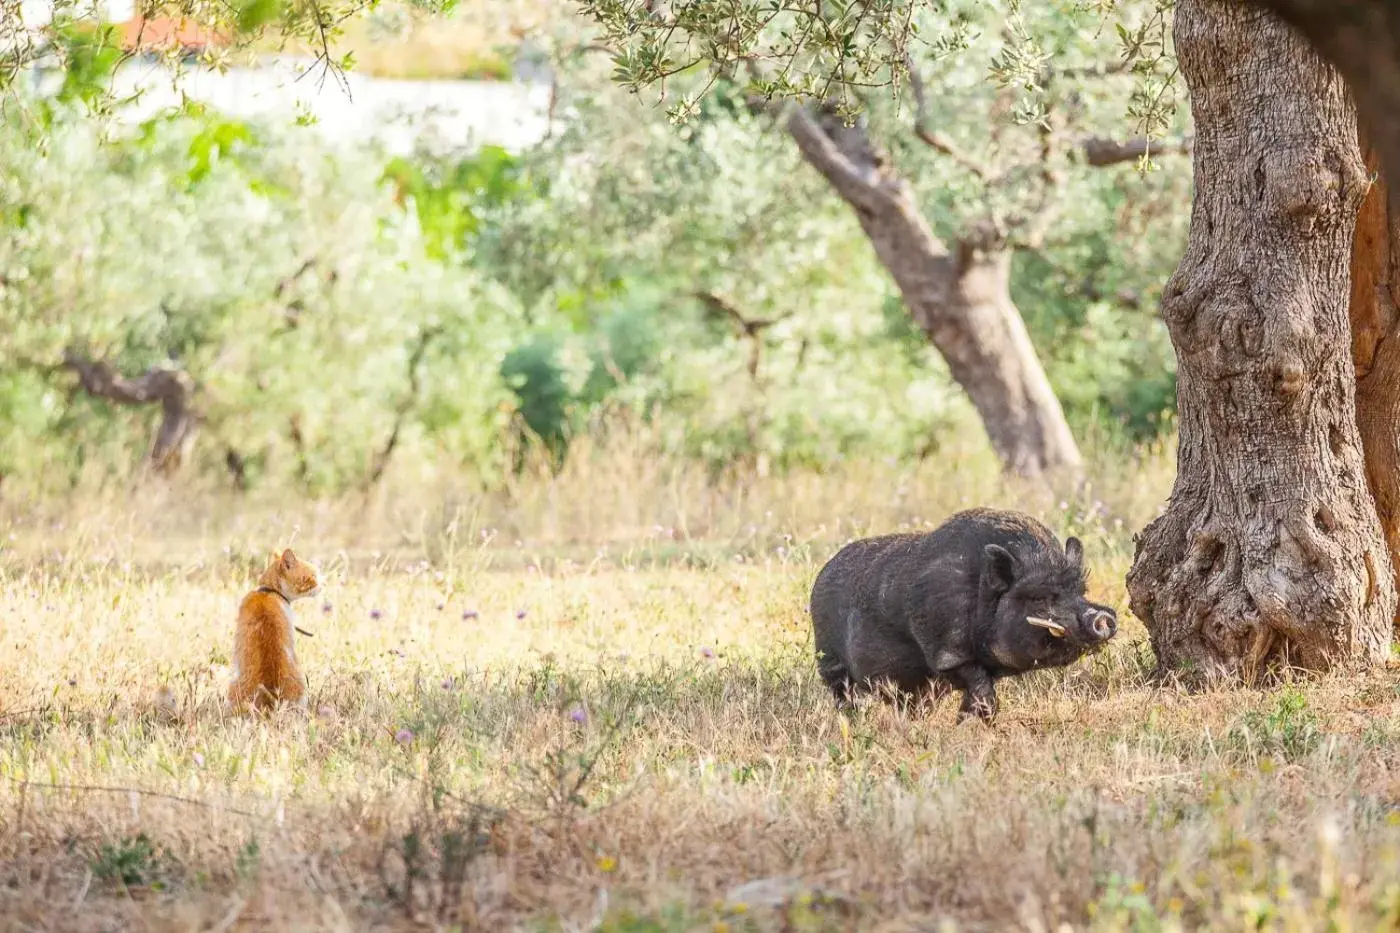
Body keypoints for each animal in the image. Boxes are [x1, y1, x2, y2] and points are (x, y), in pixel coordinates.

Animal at [812, 509, 1114, 717]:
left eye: (1080, 590)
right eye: (1037, 597)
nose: (1100, 618)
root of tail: (820, 577)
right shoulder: (946, 651)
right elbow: (978, 684)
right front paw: (971, 720)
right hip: (830, 662)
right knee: (844, 697)